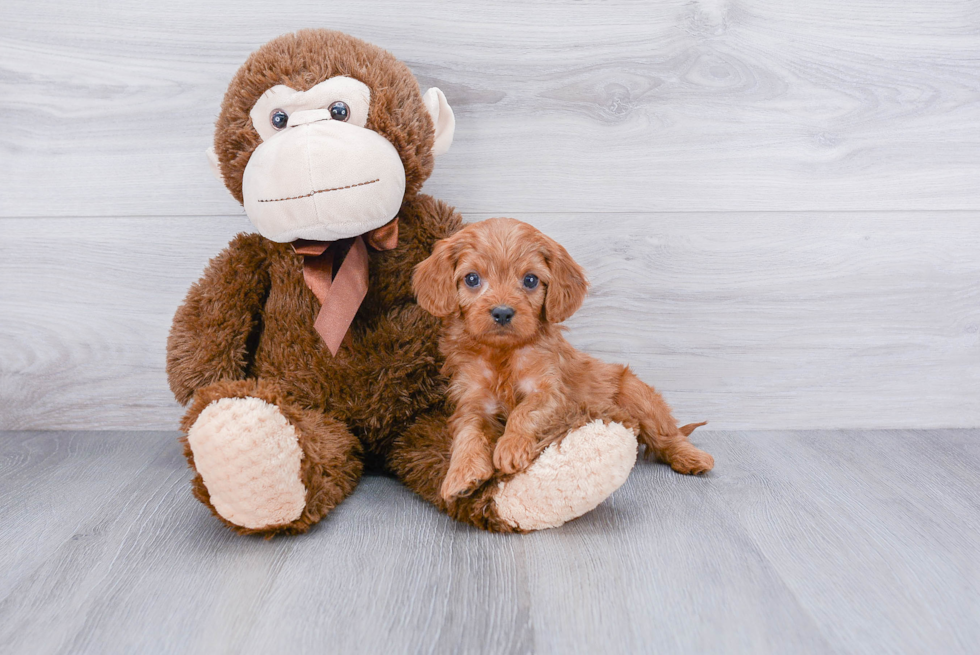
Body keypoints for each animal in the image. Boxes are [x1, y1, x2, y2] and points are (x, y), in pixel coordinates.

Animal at [410, 220, 716, 502]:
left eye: (530, 280)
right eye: (472, 279)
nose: (502, 313)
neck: (503, 353)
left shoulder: (552, 393)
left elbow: (524, 411)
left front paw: (510, 446)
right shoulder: (472, 401)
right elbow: (468, 433)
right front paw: (461, 474)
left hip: (638, 396)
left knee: (669, 436)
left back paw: (693, 458)